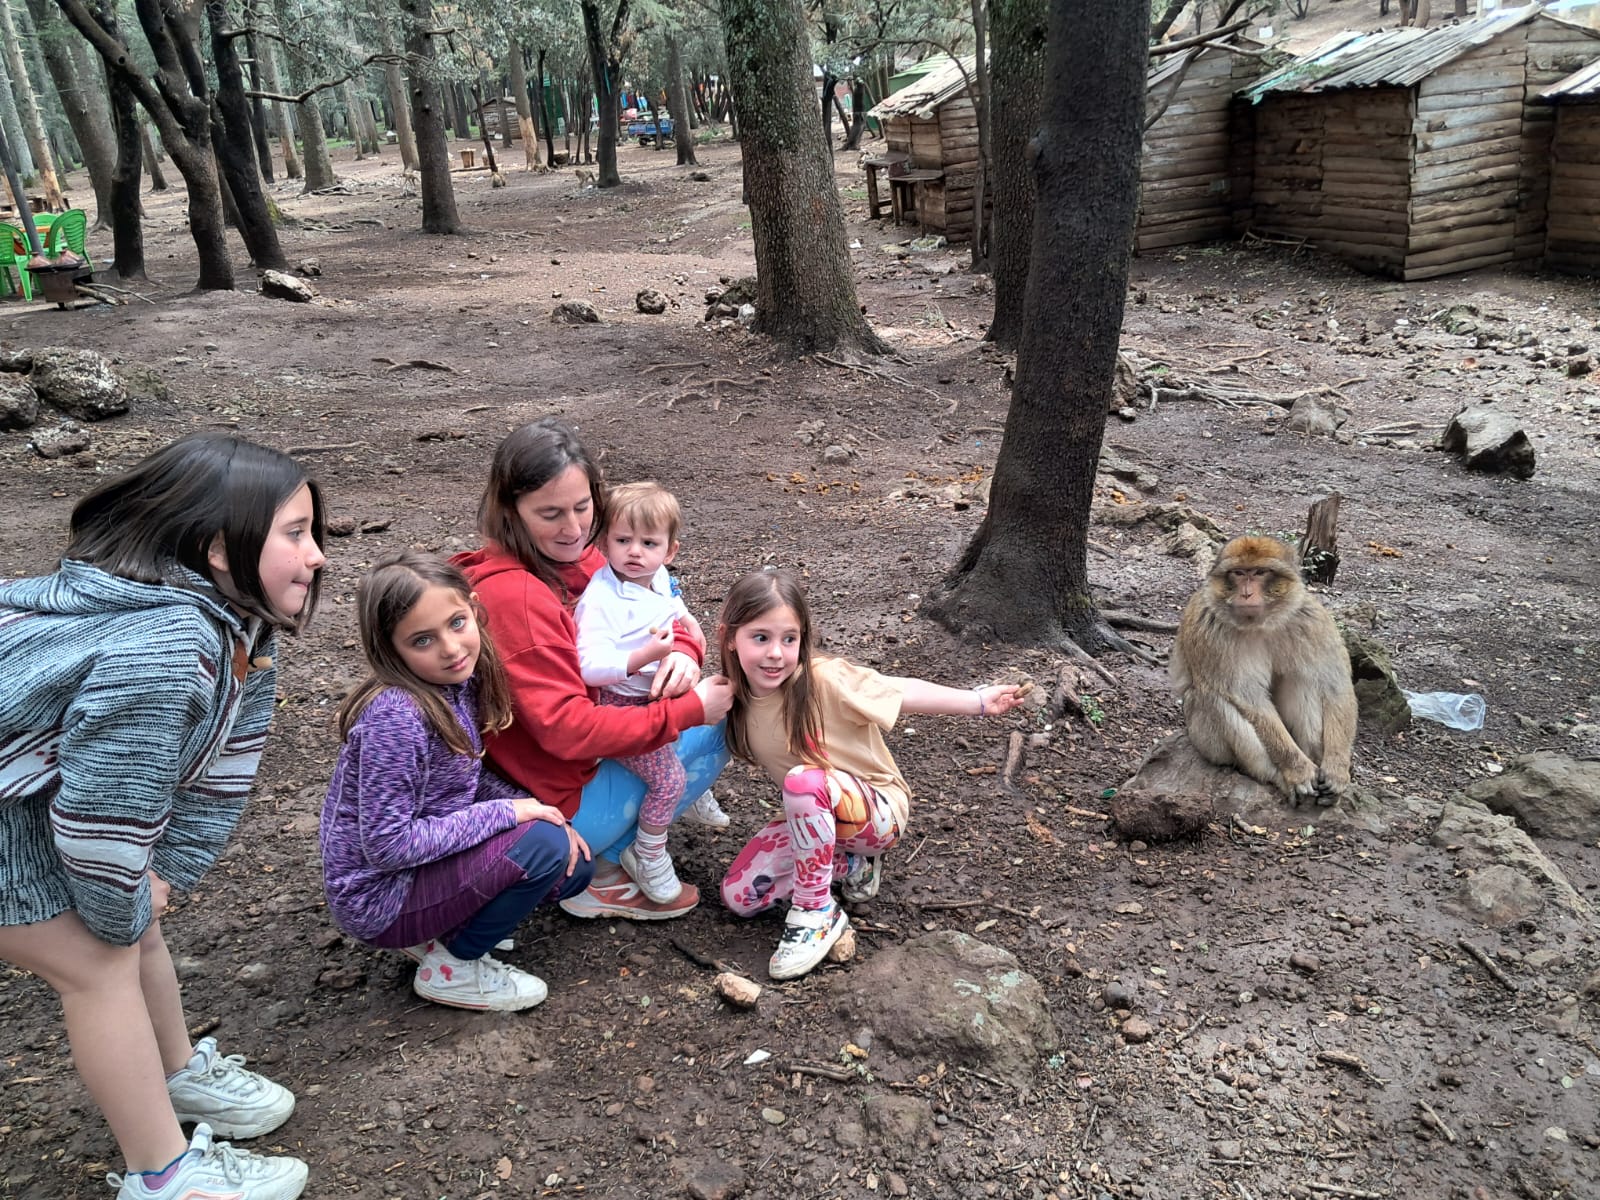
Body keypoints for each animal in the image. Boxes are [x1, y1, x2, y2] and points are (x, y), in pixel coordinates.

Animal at [1169, 535, 1357, 805]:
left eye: (1259, 572)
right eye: (1238, 573)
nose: (1247, 593)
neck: (1262, 623)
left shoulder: (1312, 620)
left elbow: (1335, 685)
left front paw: (1336, 770)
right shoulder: (1210, 630)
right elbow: (1248, 697)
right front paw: (1298, 770)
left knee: (1302, 679)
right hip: (1202, 739)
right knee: (1211, 698)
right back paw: (1280, 778)